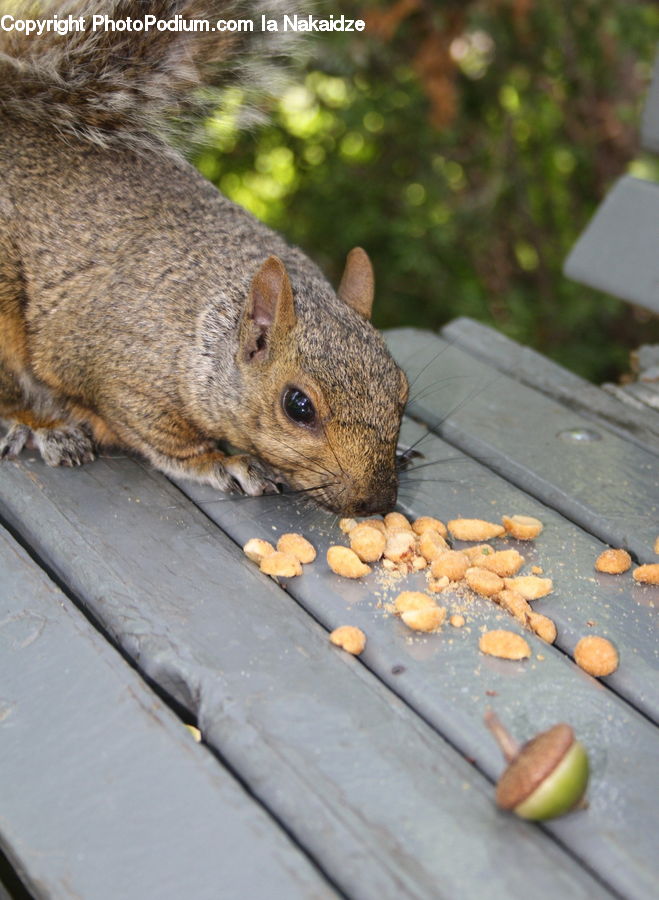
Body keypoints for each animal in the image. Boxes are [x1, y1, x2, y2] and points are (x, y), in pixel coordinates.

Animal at [0, 0, 408, 516]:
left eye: (404, 392)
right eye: (298, 406)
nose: (376, 502)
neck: (209, 331)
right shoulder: (123, 378)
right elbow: (163, 438)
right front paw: (223, 461)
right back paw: (46, 426)